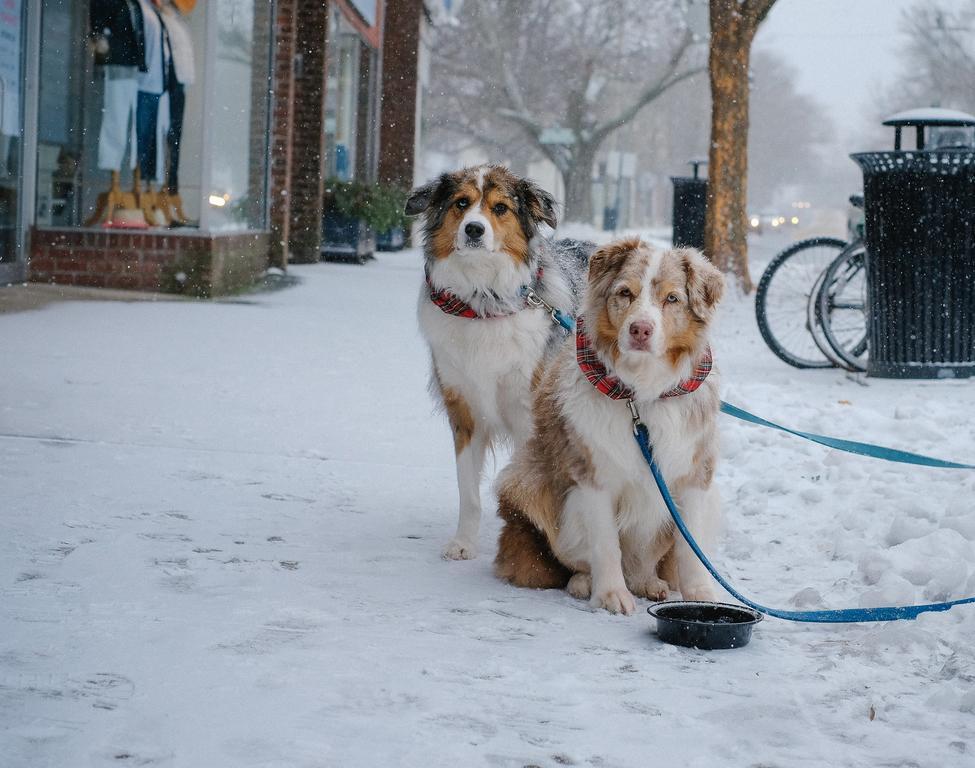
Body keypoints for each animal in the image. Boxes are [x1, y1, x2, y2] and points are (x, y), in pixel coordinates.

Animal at [402, 166, 588, 560]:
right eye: (461, 203)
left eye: (500, 208)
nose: (474, 229)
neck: (482, 301)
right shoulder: (464, 410)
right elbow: (469, 492)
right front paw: (463, 543)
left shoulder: (528, 414)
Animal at [496, 237, 724, 616]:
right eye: (625, 293)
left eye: (672, 298)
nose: (640, 329)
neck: (640, 394)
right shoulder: (593, 473)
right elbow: (605, 544)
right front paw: (610, 595)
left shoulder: (694, 473)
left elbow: (690, 548)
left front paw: (700, 594)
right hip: (527, 482)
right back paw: (584, 583)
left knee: (646, 559)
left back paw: (648, 582)